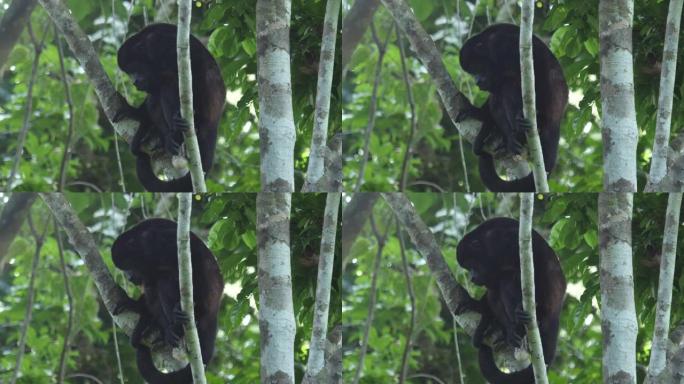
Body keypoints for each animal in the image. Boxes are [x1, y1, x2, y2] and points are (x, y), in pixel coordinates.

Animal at [111, 218, 224, 382]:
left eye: (128, 265)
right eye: (124, 270)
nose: (129, 277)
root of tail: (214, 311)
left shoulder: (160, 242)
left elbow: (191, 258)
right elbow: (150, 291)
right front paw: (135, 305)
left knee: (165, 279)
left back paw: (177, 323)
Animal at [116, 23, 226, 191]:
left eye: (133, 68)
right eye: (128, 72)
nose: (134, 81)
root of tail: (215, 121)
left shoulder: (160, 45)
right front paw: (134, 112)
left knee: (168, 83)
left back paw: (176, 132)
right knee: (155, 97)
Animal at [456, 23, 568, 191]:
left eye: (476, 67)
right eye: (471, 72)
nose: (476, 80)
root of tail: (556, 120)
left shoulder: (503, 46)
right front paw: (476, 113)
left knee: (507, 86)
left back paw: (518, 131)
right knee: (497, 97)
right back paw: (505, 136)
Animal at [456, 218, 564, 382]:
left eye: (471, 263)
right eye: (467, 268)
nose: (472, 277)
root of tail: (556, 313)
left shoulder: (502, 241)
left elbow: (532, 262)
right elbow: (492, 288)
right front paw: (476, 305)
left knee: (507, 279)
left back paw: (519, 324)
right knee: (495, 290)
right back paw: (505, 330)